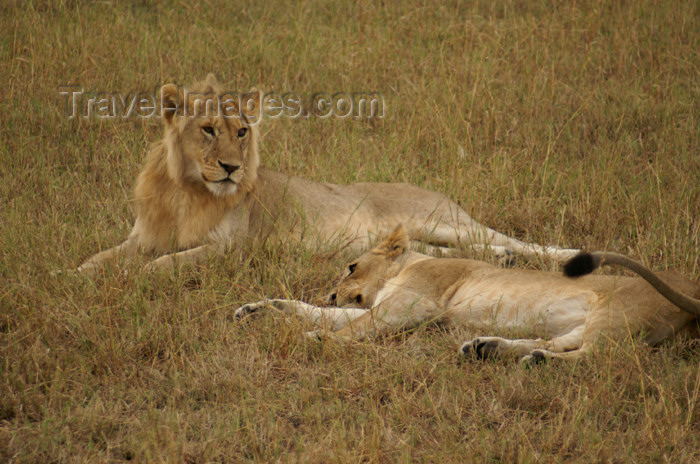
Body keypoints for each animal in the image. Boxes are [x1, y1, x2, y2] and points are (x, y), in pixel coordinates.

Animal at [74, 74, 580, 274]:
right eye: (208, 130)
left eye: (242, 132)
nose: (232, 168)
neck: (188, 193)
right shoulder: (141, 236)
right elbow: (100, 259)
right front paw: (72, 275)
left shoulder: (229, 249)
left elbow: (165, 264)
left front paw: (132, 277)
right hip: (414, 239)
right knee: (458, 251)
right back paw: (502, 262)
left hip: (441, 220)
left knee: (511, 240)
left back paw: (561, 255)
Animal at [237, 225, 700, 362]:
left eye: (350, 267)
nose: (334, 295)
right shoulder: (386, 306)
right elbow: (308, 310)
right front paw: (256, 309)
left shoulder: (413, 305)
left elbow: (349, 329)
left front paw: (319, 339)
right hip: (589, 322)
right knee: (562, 342)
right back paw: (488, 348)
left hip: (617, 315)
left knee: (592, 358)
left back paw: (534, 361)